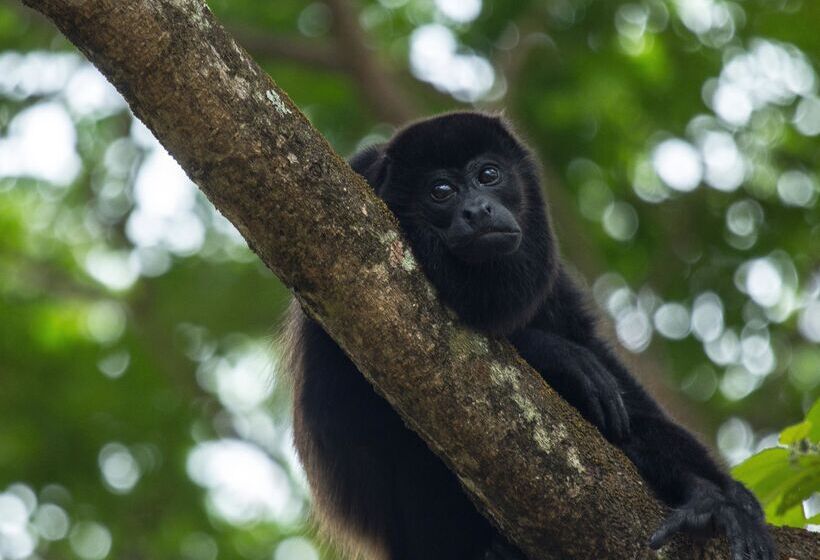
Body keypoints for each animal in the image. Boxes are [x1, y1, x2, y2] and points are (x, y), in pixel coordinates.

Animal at [284, 112, 776, 560]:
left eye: (488, 175)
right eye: (441, 191)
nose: (478, 209)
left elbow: (609, 368)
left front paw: (715, 491)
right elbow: (351, 402)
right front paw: (560, 356)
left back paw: (707, 500)